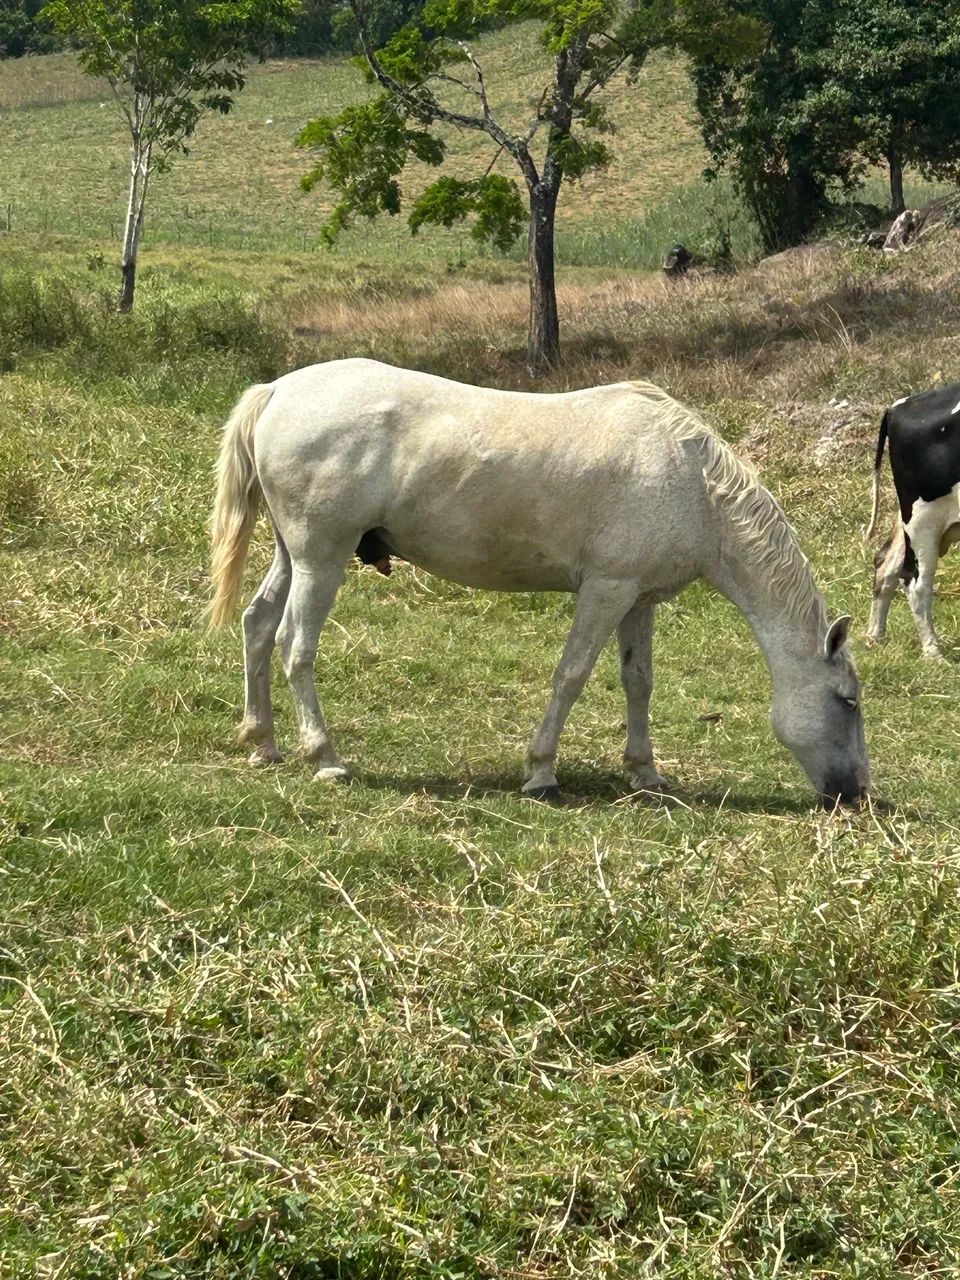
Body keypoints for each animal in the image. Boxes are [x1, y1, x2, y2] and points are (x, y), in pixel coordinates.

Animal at [208, 358, 869, 807]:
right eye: (848, 701)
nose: (858, 794)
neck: (692, 479)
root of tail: (278, 390)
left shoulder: (639, 600)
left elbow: (638, 683)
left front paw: (646, 772)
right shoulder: (606, 590)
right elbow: (571, 676)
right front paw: (542, 771)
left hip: (292, 557)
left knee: (258, 626)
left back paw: (262, 741)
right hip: (321, 559)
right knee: (295, 646)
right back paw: (323, 757)